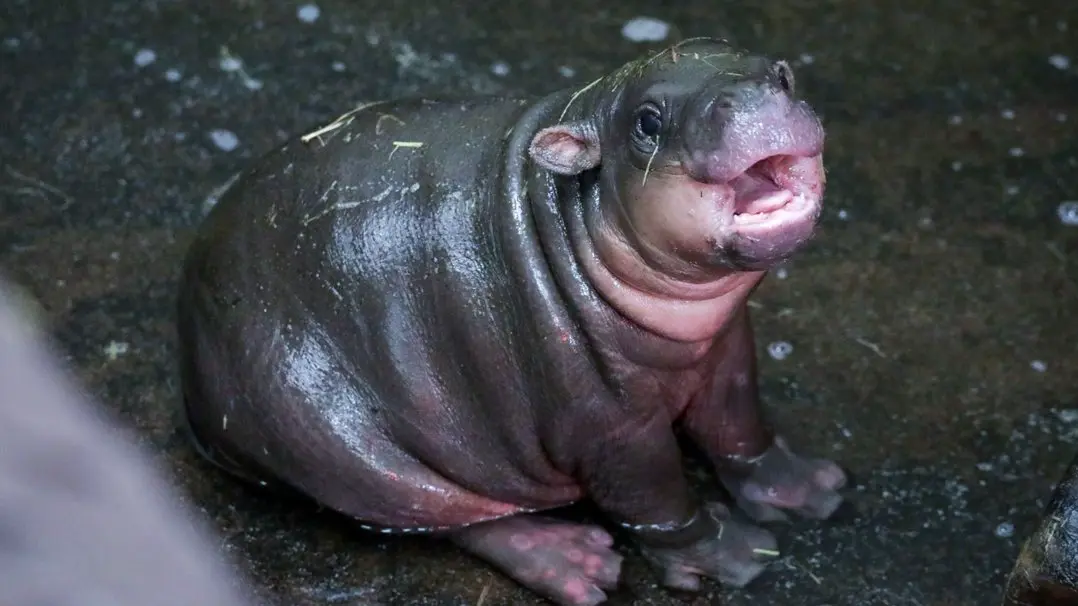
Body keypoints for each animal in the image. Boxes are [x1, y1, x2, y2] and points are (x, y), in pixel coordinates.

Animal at [177, 37, 848, 605]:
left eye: (782, 74)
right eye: (647, 122)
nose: (757, 101)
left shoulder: (729, 350)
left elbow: (741, 427)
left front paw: (814, 489)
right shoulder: (611, 421)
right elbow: (655, 496)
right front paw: (735, 554)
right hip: (327, 431)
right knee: (446, 514)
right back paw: (578, 563)